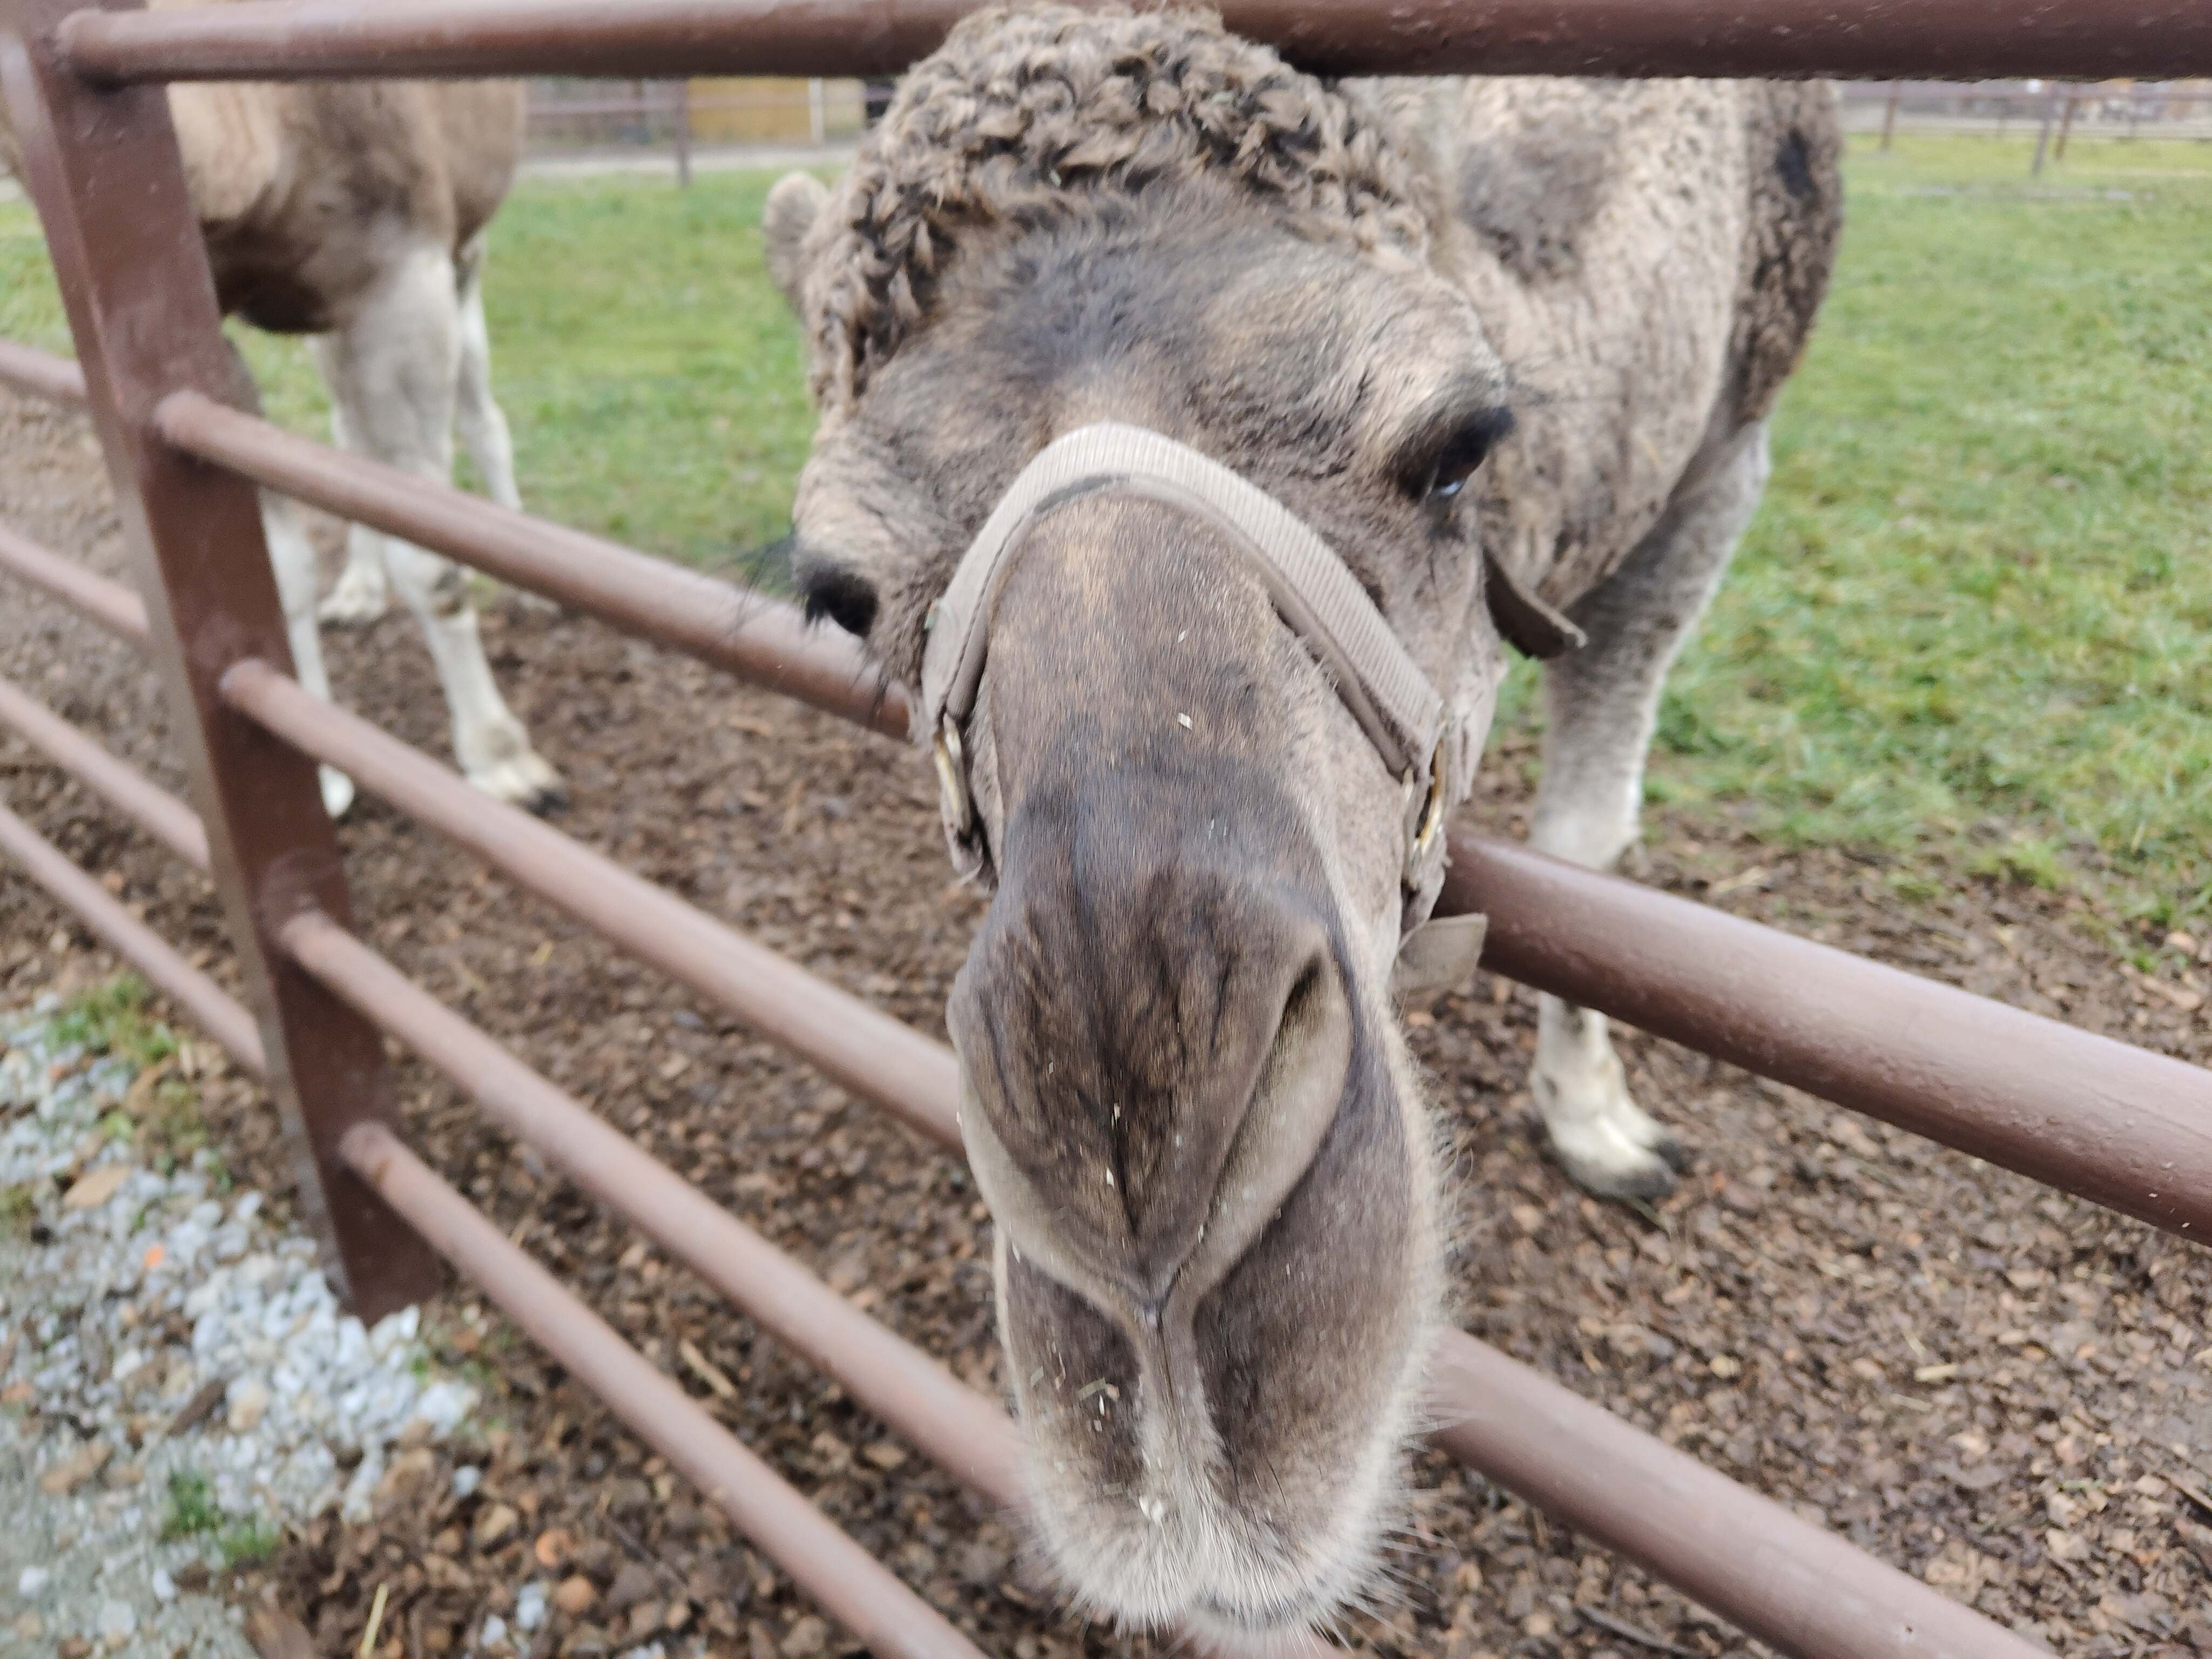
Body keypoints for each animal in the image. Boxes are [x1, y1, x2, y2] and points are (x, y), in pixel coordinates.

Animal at [1, 0, 560, 815]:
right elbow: (278, 557)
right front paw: (319, 772)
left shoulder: (405, 272)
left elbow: (429, 556)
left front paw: (504, 763)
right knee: (349, 431)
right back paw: (358, 590)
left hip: (466, 254)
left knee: (480, 418)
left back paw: (528, 579)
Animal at [762, 5, 1841, 1641]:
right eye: (842, 594)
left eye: (1458, 443)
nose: (1138, 1180)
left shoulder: (1721, 462)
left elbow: (1591, 844)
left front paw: (1595, 1118)